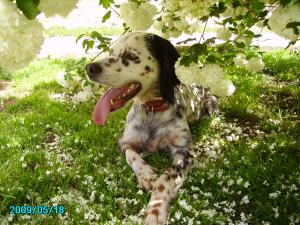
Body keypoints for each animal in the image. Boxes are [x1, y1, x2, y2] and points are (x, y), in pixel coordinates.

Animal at [85, 32, 217, 225]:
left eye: (131, 56)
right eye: (111, 52)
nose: (89, 68)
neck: (152, 110)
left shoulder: (185, 152)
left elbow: (165, 178)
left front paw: (155, 211)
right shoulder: (125, 142)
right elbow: (132, 156)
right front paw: (146, 175)